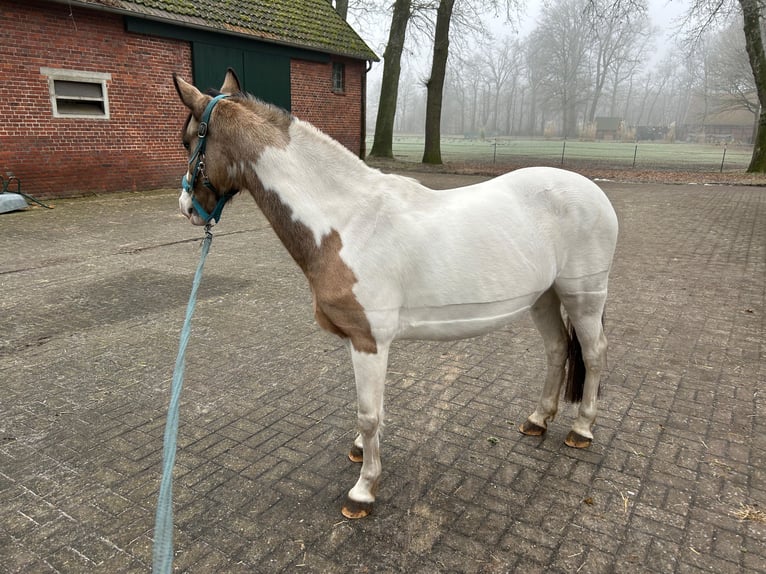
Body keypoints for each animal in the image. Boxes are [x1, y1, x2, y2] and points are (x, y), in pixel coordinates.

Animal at [172, 70, 616, 520]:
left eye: (189, 141)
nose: (187, 207)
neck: (347, 221)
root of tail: (593, 191)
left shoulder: (370, 341)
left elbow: (369, 414)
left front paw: (364, 489)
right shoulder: (360, 341)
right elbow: (371, 411)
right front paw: (359, 451)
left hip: (583, 296)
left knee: (594, 353)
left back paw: (581, 429)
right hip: (544, 297)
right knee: (558, 350)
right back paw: (538, 419)